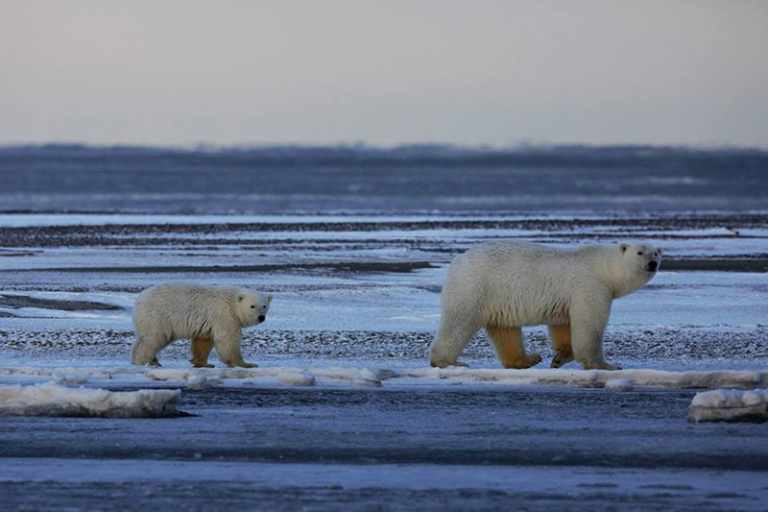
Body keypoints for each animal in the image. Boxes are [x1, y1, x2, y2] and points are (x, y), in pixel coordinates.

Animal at [133, 284, 272, 368]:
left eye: (264, 306)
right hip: (158, 316)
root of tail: (139, 299)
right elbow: (227, 340)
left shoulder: (209, 323)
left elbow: (203, 341)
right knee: (154, 338)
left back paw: (152, 360)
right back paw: (144, 360)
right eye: (252, 306)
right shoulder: (224, 316)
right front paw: (246, 364)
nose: (261, 317)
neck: (232, 303)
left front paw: (203, 363)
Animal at [432, 242, 660, 370]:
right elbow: (589, 326)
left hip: (497, 298)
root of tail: (458, 260)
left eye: (656, 253)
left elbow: (563, 325)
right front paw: (607, 365)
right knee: (458, 322)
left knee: (504, 330)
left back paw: (527, 359)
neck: (604, 268)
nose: (652, 264)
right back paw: (447, 362)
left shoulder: (568, 299)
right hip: (474, 287)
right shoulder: (591, 287)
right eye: (640, 252)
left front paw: (559, 358)